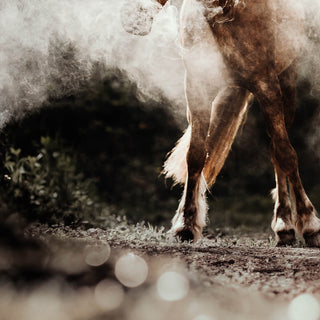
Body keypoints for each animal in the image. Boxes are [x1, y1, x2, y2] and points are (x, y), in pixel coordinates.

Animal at [121, 0, 320, 248]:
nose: (131, 17)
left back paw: (284, 225)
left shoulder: (267, 86)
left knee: (278, 154)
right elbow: (195, 156)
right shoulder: (197, 91)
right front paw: (186, 225)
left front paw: (310, 224)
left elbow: (286, 155)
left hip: (286, 85)